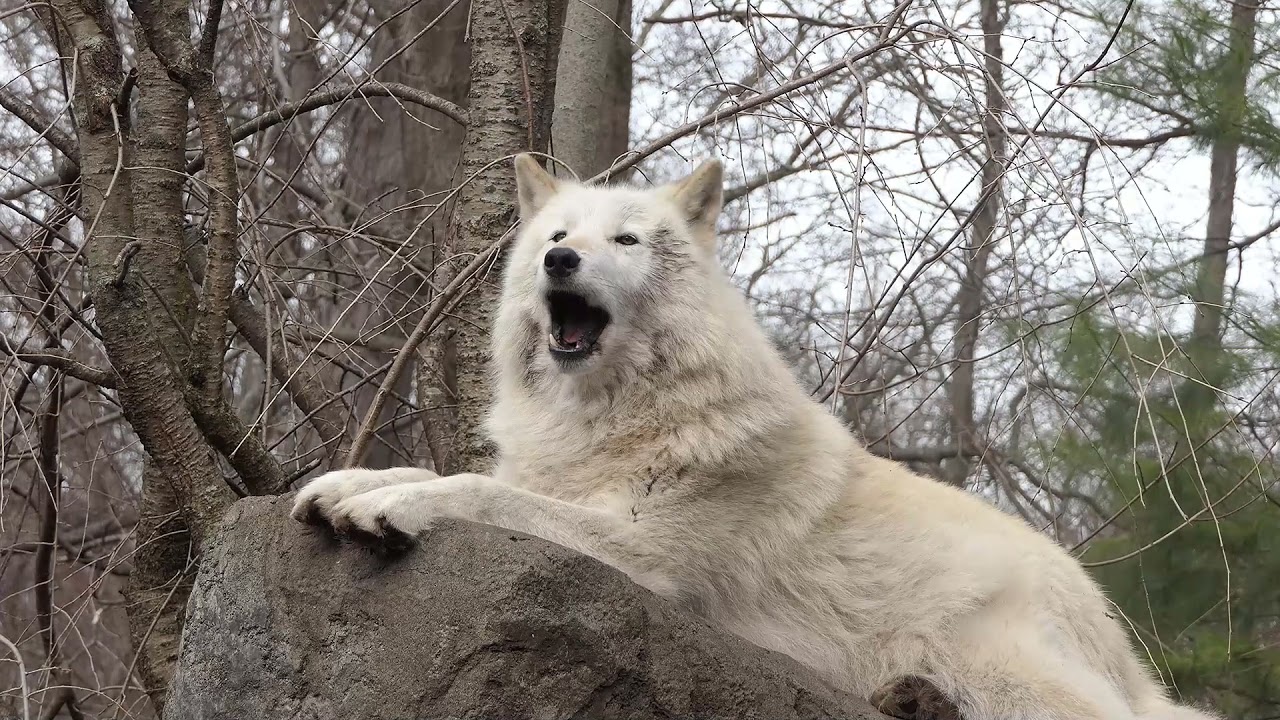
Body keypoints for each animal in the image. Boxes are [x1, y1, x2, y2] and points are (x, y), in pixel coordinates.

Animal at [293, 154, 1217, 720]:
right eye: (556, 237)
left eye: (624, 240)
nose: (561, 264)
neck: (608, 421)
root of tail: (1116, 634)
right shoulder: (554, 481)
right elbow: (443, 470)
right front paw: (344, 486)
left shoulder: (643, 554)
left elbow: (476, 489)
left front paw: (392, 510)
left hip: (999, 670)